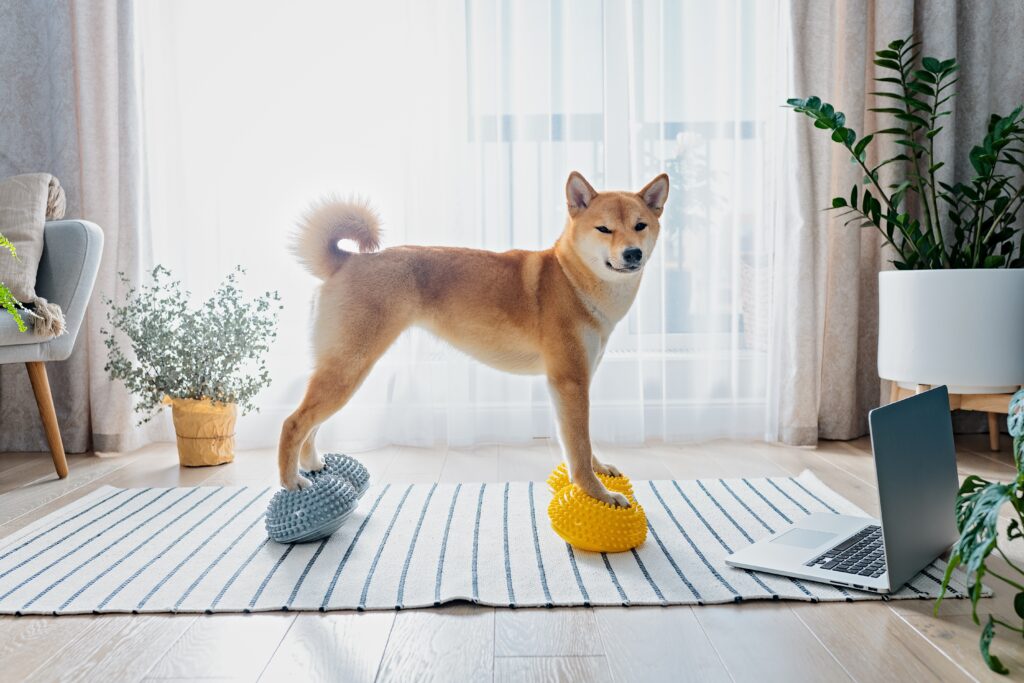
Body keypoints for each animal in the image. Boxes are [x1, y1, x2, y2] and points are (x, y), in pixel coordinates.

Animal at [276, 172, 667, 507]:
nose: (633, 253)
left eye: (640, 225)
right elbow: (579, 448)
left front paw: (600, 472)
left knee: (312, 425)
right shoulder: (570, 382)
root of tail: (346, 261)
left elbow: (581, 444)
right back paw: (291, 482)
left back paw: (312, 465)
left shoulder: (574, 382)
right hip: (350, 370)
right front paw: (598, 493)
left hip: (343, 371)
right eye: (604, 229)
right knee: (293, 422)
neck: (573, 279)